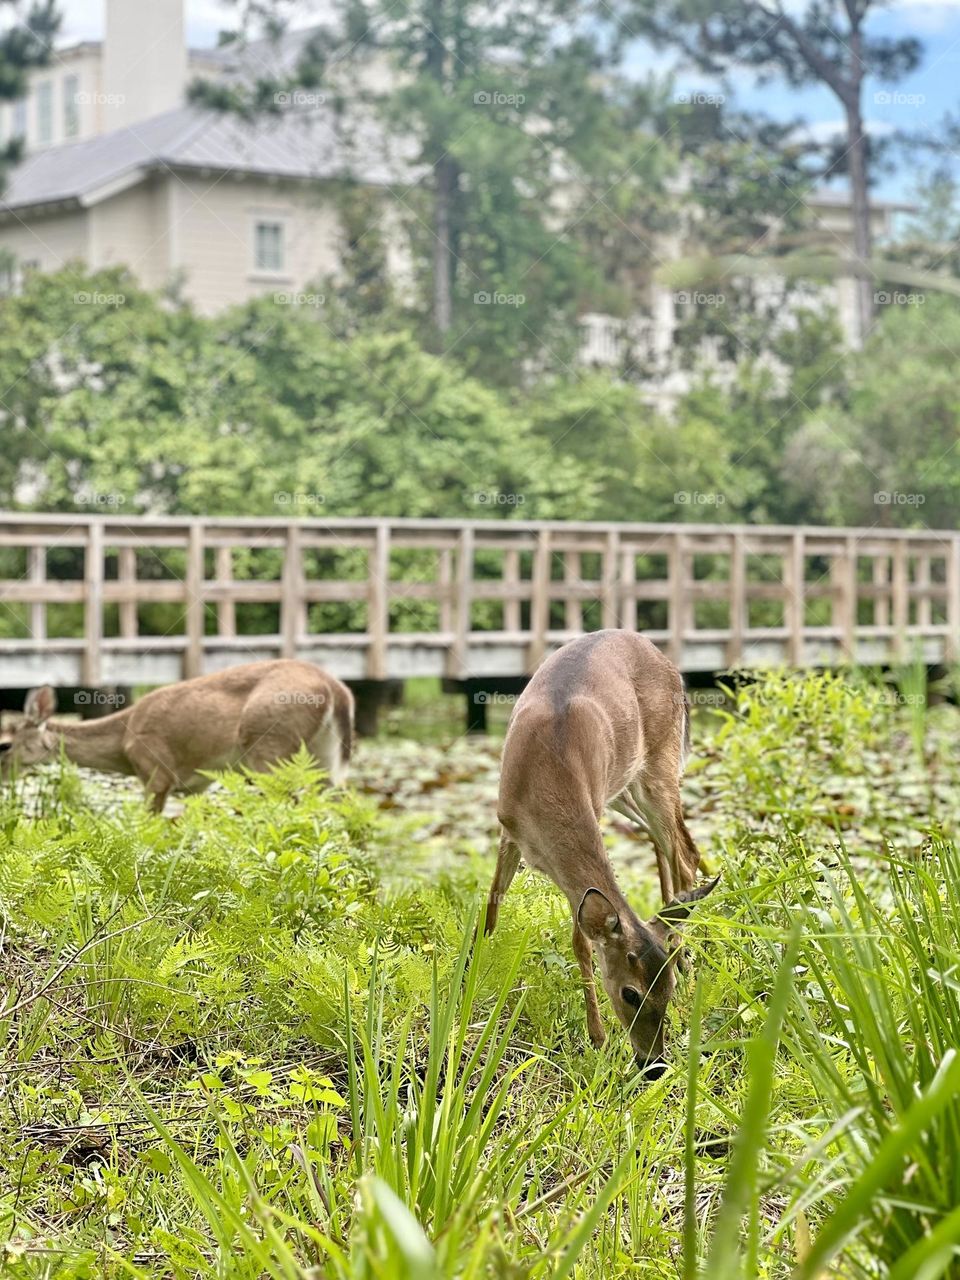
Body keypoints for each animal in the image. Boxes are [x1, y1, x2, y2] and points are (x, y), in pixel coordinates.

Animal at [0, 660, 353, 808]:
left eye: (4, 744)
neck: (122, 741)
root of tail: (336, 690)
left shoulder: (155, 772)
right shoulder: (197, 786)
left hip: (270, 746)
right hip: (324, 756)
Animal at [483, 629, 716, 1080]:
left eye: (667, 993)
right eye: (631, 993)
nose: (654, 1065)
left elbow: (580, 938)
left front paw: (597, 1038)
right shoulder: (508, 825)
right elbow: (493, 903)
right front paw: (470, 974)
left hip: (657, 766)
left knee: (684, 851)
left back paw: (686, 953)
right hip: (625, 788)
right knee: (668, 844)